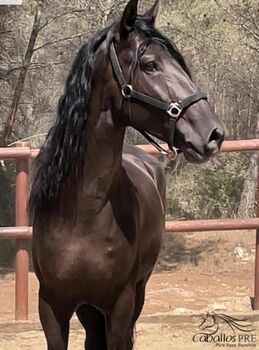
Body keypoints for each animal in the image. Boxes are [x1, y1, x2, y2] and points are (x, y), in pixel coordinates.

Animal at [29, 1, 225, 348]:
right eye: (150, 65)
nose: (214, 134)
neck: (83, 212)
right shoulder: (51, 306)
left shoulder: (120, 304)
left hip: (138, 290)